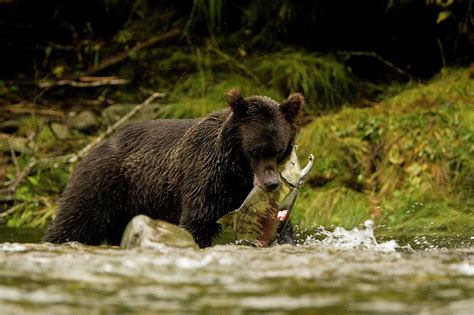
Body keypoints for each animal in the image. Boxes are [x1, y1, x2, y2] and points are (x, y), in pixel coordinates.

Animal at [44, 90, 304, 248]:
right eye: (256, 150)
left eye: (279, 149)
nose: (271, 183)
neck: (236, 170)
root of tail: (94, 147)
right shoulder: (206, 177)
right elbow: (198, 221)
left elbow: (282, 228)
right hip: (101, 184)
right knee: (74, 222)